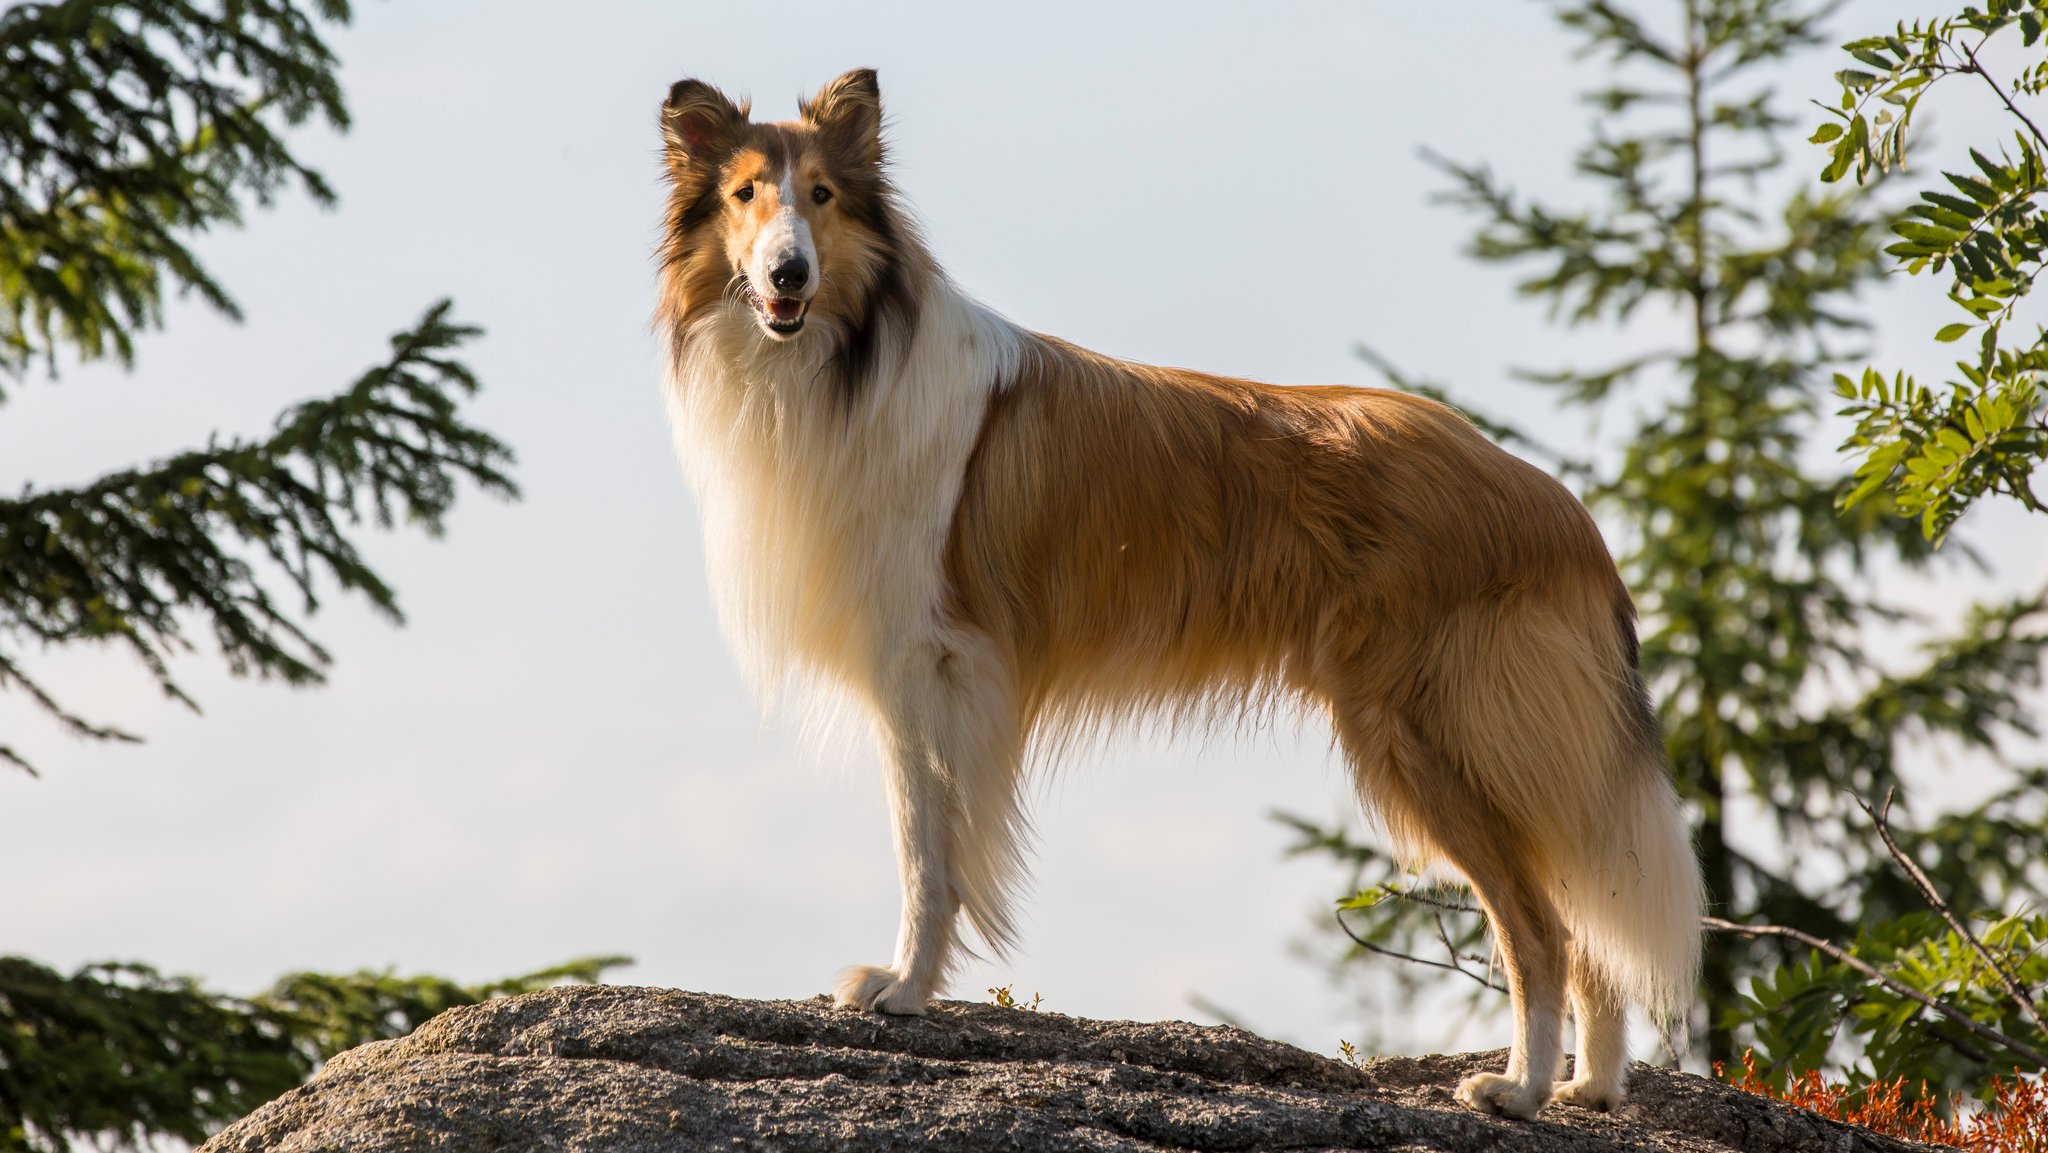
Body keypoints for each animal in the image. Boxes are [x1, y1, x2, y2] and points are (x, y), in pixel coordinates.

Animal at [655, 70, 1695, 1122]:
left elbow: (927, 850)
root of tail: (1558, 505)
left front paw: (902, 990)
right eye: (745, 193)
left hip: (1429, 731)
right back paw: (1591, 1088)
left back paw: (1518, 1088)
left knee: (1543, 925)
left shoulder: (928, 663)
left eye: (823, 196)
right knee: (1587, 918)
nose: (788, 274)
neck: (849, 358)